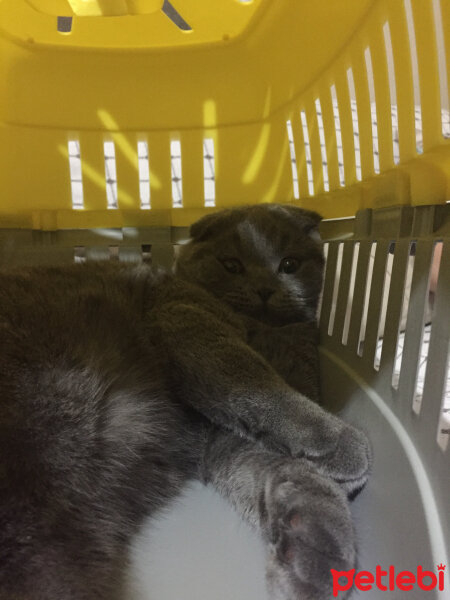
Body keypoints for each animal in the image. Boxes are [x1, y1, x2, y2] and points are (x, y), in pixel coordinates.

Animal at [0, 203, 370, 600]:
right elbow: (254, 378)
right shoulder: (184, 315)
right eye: (231, 265)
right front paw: (338, 442)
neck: (265, 331)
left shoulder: (218, 441)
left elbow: (286, 471)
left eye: (289, 264)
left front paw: (315, 552)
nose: (264, 289)